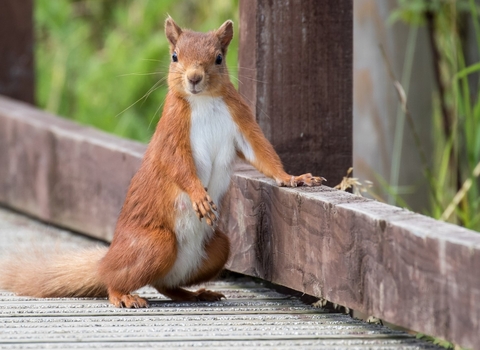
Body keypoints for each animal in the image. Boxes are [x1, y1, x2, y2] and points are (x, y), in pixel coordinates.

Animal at [0, 17, 324, 308]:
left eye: (219, 58)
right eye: (175, 56)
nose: (194, 77)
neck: (204, 101)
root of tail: (106, 260)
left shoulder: (241, 120)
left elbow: (262, 154)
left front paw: (294, 178)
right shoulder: (171, 132)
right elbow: (177, 165)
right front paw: (198, 195)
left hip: (217, 248)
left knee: (165, 285)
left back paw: (196, 294)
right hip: (155, 244)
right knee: (115, 281)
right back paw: (123, 296)